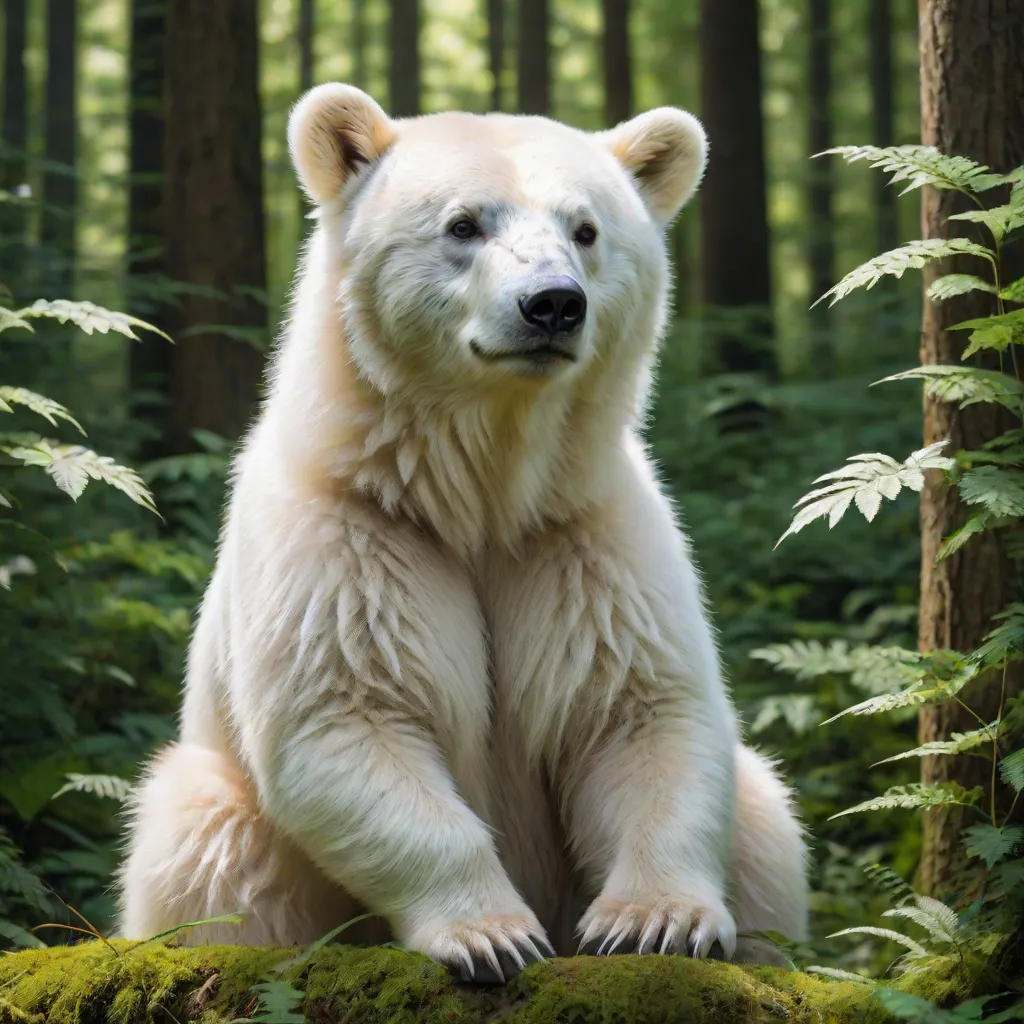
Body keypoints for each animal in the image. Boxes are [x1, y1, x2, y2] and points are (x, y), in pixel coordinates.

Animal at [120, 83, 808, 982]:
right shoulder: (346, 534)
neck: (478, 495)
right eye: (462, 224)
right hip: (224, 813)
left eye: (586, 229)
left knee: (766, 823)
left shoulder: (584, 532)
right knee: (206, 846)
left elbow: (641, 711)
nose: (553, 303)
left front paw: (654, 921)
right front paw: (492, 934)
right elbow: (347, 713)